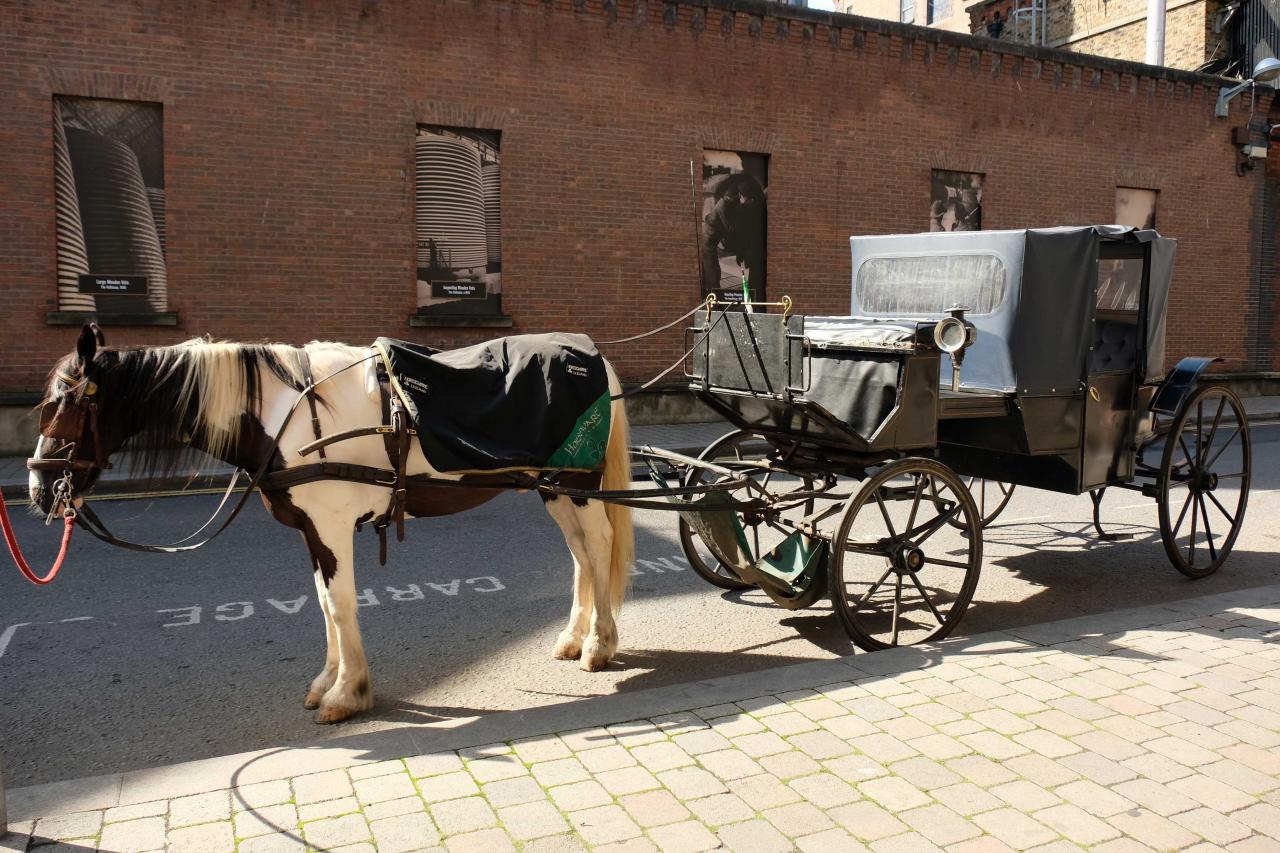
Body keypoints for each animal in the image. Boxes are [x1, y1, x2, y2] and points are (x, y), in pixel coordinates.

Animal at [28, 322, 629, 722]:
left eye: (65, 406)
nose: (38, 491)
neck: (280, 415)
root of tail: (591, 355)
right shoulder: (312, 531)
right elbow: (321, 602)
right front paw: (328, 680)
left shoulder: (332, 527)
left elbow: (339, 604)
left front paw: (349, 693)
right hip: (553, 487)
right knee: (580, 553)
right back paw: (574, 637)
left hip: (578, 485)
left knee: (598, 545)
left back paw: (600, 644)